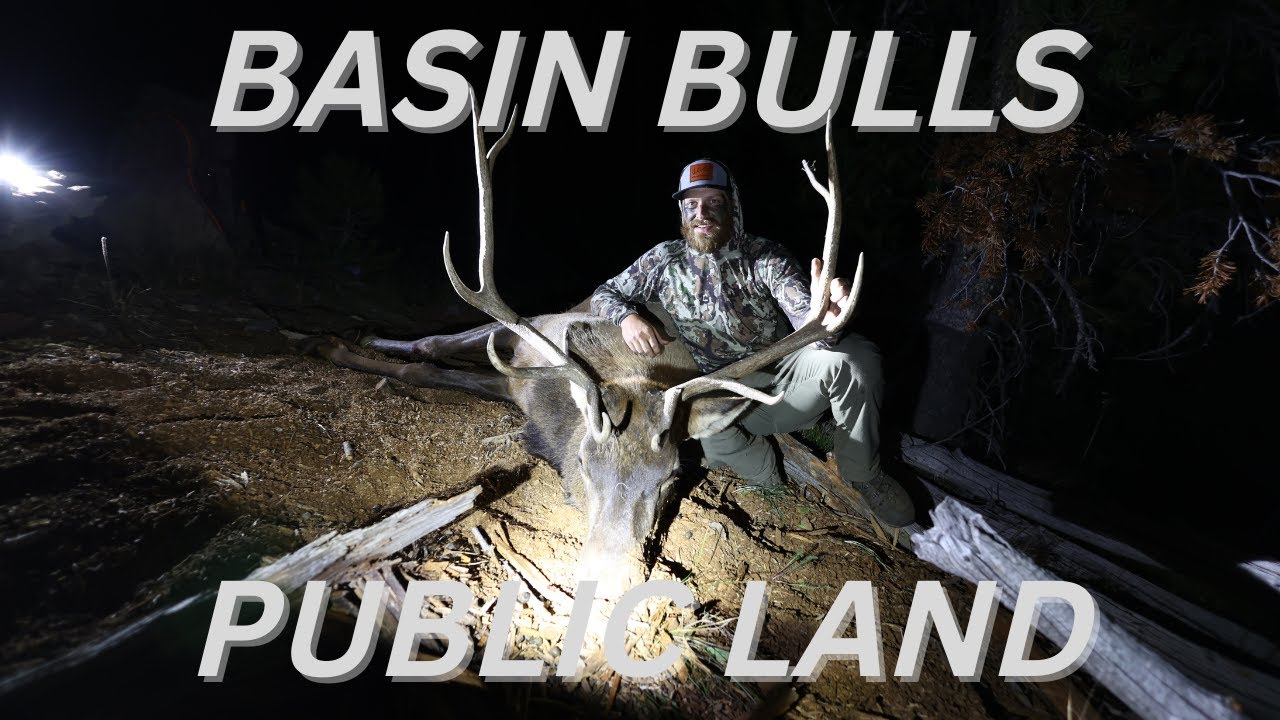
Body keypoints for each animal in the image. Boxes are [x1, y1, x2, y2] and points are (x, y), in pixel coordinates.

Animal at [302, 93, 861, 597]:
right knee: (436, 341)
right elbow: (427, 362)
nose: (610, 577)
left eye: (672, 475)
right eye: (588, 464)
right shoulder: (532, 342)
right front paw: (335, 346)